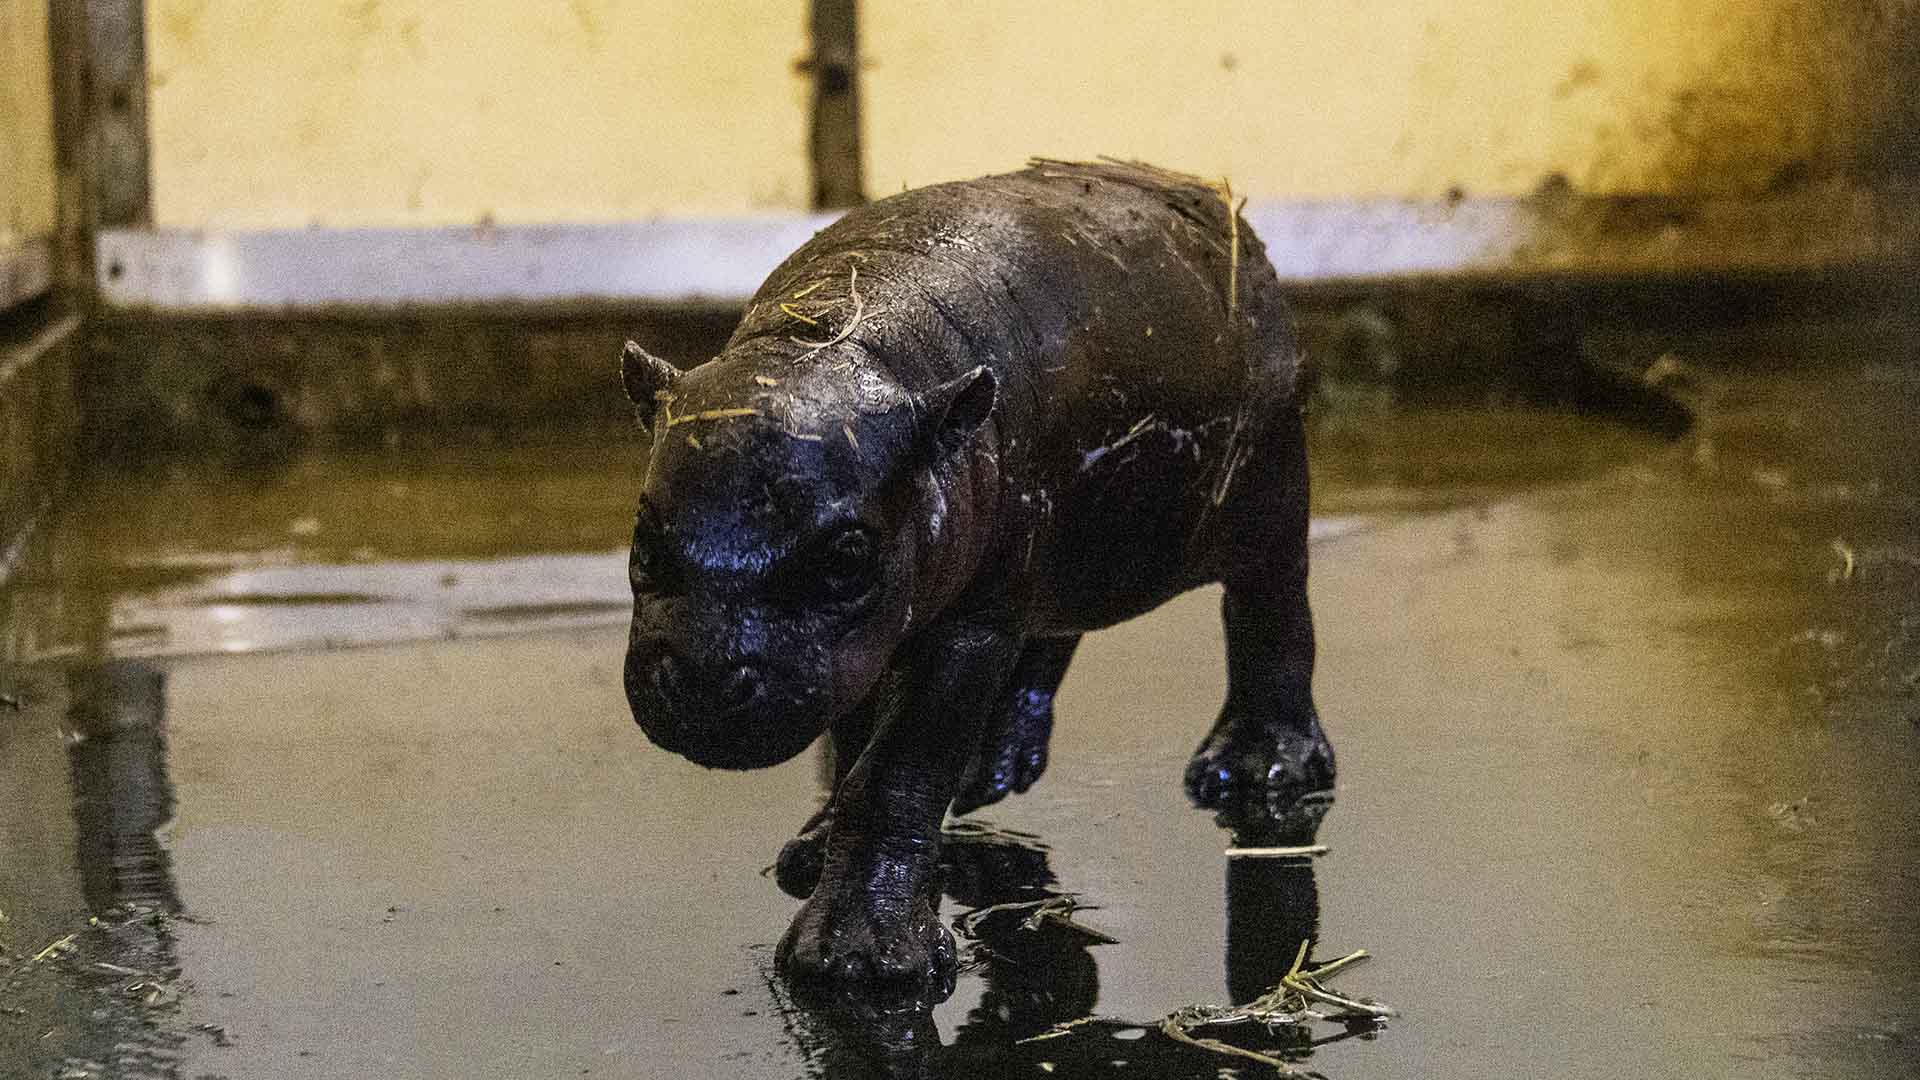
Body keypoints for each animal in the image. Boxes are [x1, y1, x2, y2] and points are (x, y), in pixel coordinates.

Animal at [622, 159, 1328, 999]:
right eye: (642, 539)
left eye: (846, 558)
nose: (702, 678)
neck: (838, 339)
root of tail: (1220, 211)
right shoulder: (889, 632)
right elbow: (857, 748)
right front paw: (812, 857)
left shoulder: (970, 625)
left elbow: (898, 767)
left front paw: (859, 963)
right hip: (1067, 554)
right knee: (1059, 632)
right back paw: (995, 771)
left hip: (1271, 491)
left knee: (1271, 613)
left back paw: (1254, 774)